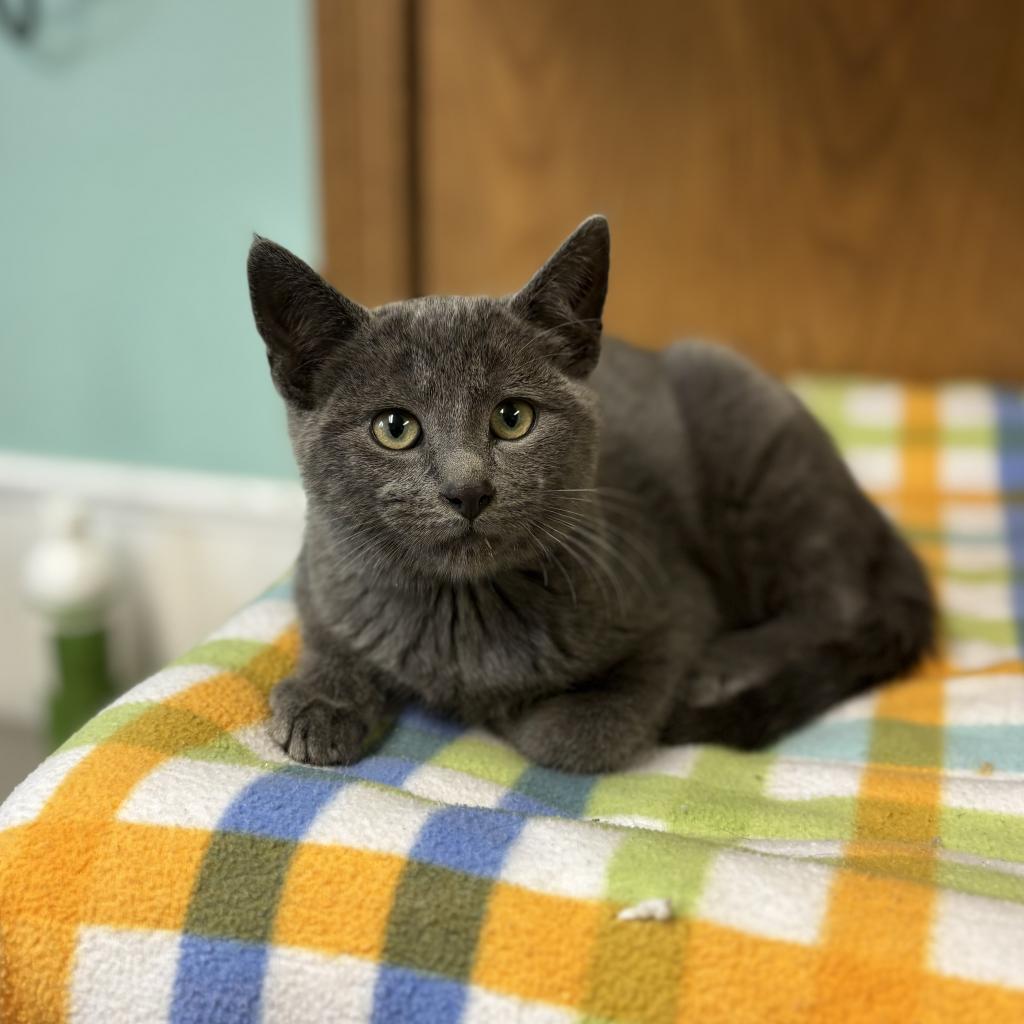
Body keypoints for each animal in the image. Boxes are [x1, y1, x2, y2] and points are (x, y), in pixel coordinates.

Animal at [247, 218, 937, 774]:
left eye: (513, 418)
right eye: (395, 427)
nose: (468, 490)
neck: (462, 614)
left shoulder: (676, 606)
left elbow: (577, 734)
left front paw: (510, 711)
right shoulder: (321, 575)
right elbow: (327, 637)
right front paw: (320, 702)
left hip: (754, 438)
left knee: (838, 602)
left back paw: (729, 662)